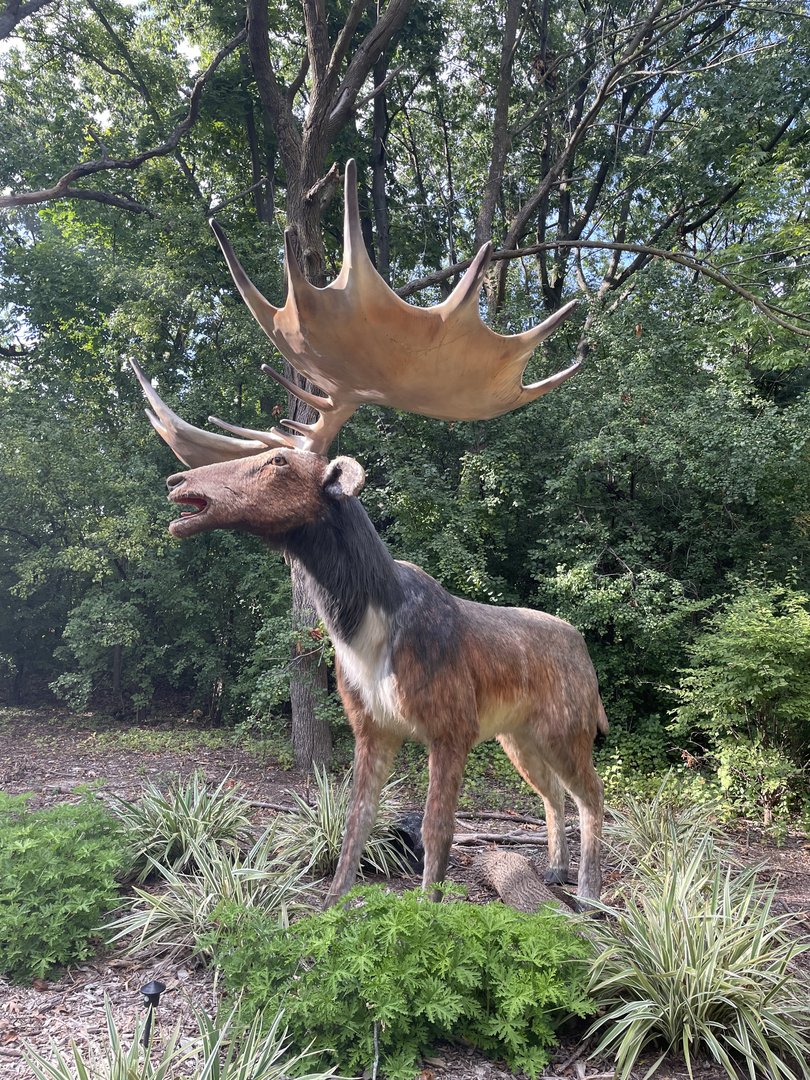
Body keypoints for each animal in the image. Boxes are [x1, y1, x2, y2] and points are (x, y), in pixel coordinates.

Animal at [131, 160, 607, 904]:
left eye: (277, 463)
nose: (181, 483)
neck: (364, 632)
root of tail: (586, 654)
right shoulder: (371, 726)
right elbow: (357, 821)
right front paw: (331, 903)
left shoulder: (450, 725)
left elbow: (438, 833)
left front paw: (431, 908)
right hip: (519, 735)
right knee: (553, 796)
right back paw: (553, 870)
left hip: (569, 722)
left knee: (593, 796)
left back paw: (586, 893)